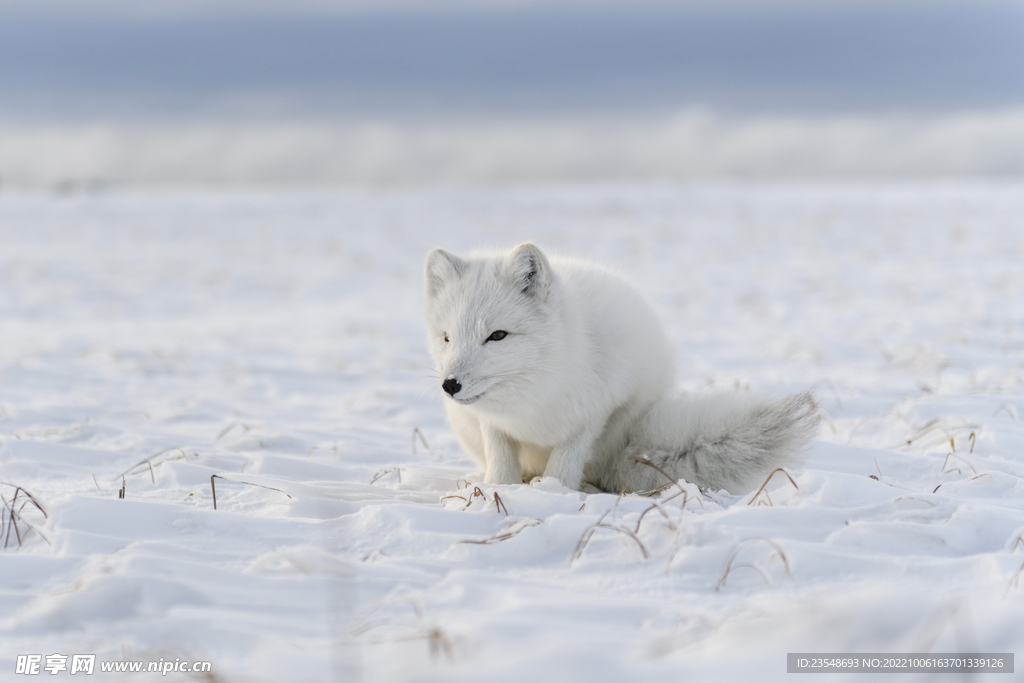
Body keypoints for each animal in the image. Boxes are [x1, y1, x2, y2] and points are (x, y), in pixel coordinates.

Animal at [421, 242, 815, 493]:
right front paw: (497, 492)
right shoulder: (494, 425)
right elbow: (501, 462)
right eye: (447, 337)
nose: (450, 385)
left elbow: (565, 462)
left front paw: (552, 494)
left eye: (497, 335)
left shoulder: (595, 413)